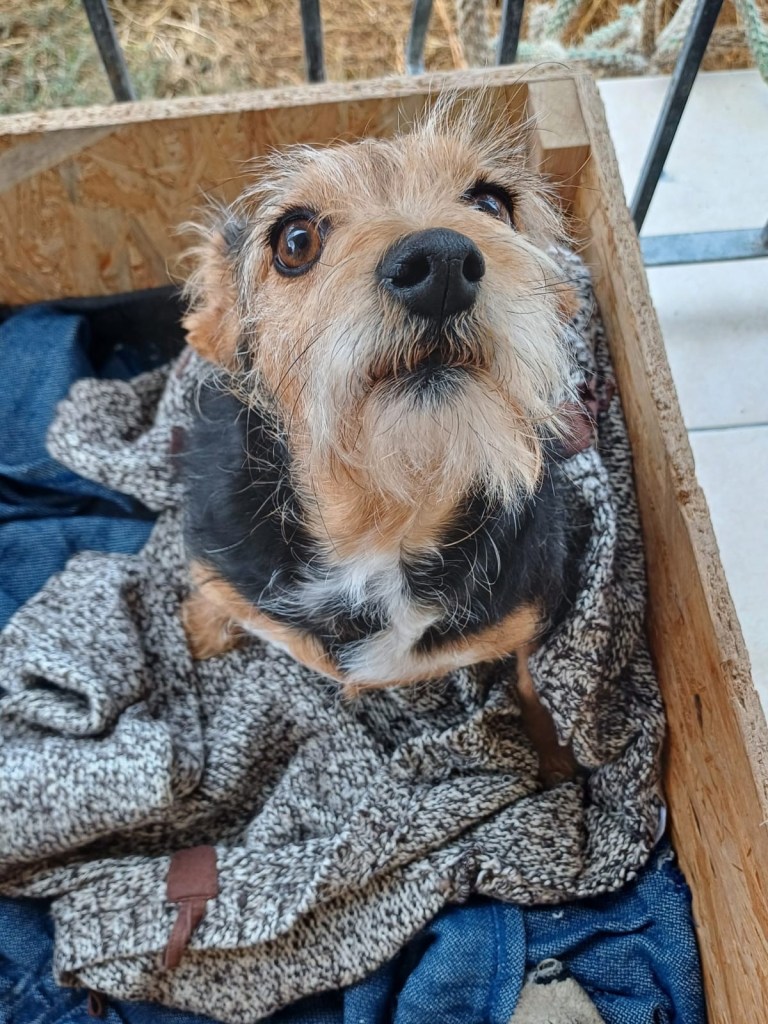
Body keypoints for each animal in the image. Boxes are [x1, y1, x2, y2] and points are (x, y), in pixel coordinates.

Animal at [178, 101, 583, 780]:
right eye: (294, 241)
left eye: (492, 204)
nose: (440, 263)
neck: (385, 519)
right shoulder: (220, 563)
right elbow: (210, 590)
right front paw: (201, 631)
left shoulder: (533, 606)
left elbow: (531, 682)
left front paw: (555, 759)